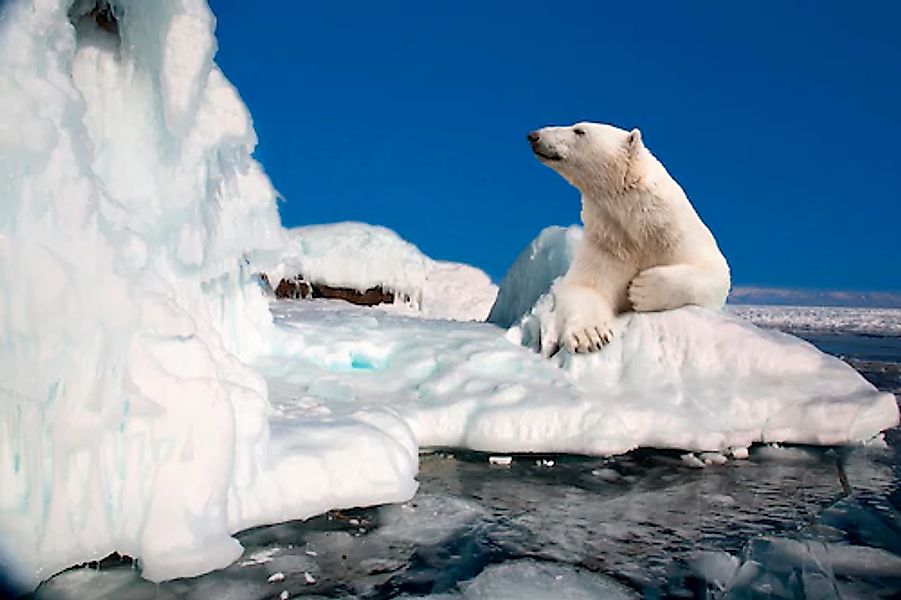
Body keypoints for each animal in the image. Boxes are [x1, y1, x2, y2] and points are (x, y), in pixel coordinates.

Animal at [528, 123, 732, 354]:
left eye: (579, 130)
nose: (534, 136)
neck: (638, 227)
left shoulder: (677, 233)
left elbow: (715, 272)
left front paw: (642, 289)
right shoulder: (607, 244)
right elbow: (586, 287)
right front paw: (591, 336)